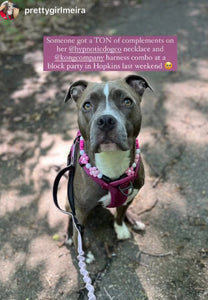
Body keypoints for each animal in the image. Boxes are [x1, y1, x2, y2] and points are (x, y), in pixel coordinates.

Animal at [64, 75, 150, 258]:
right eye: (87, 105)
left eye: (127, 101)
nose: (105, 120)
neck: (112, 160)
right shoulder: (79, 210)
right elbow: (78, 233)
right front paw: (83, 252)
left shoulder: (130, 194)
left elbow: (120, 213)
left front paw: (120, 228)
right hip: (68, 200)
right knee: (68, 216)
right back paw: (67, 235)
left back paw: (134, 219)